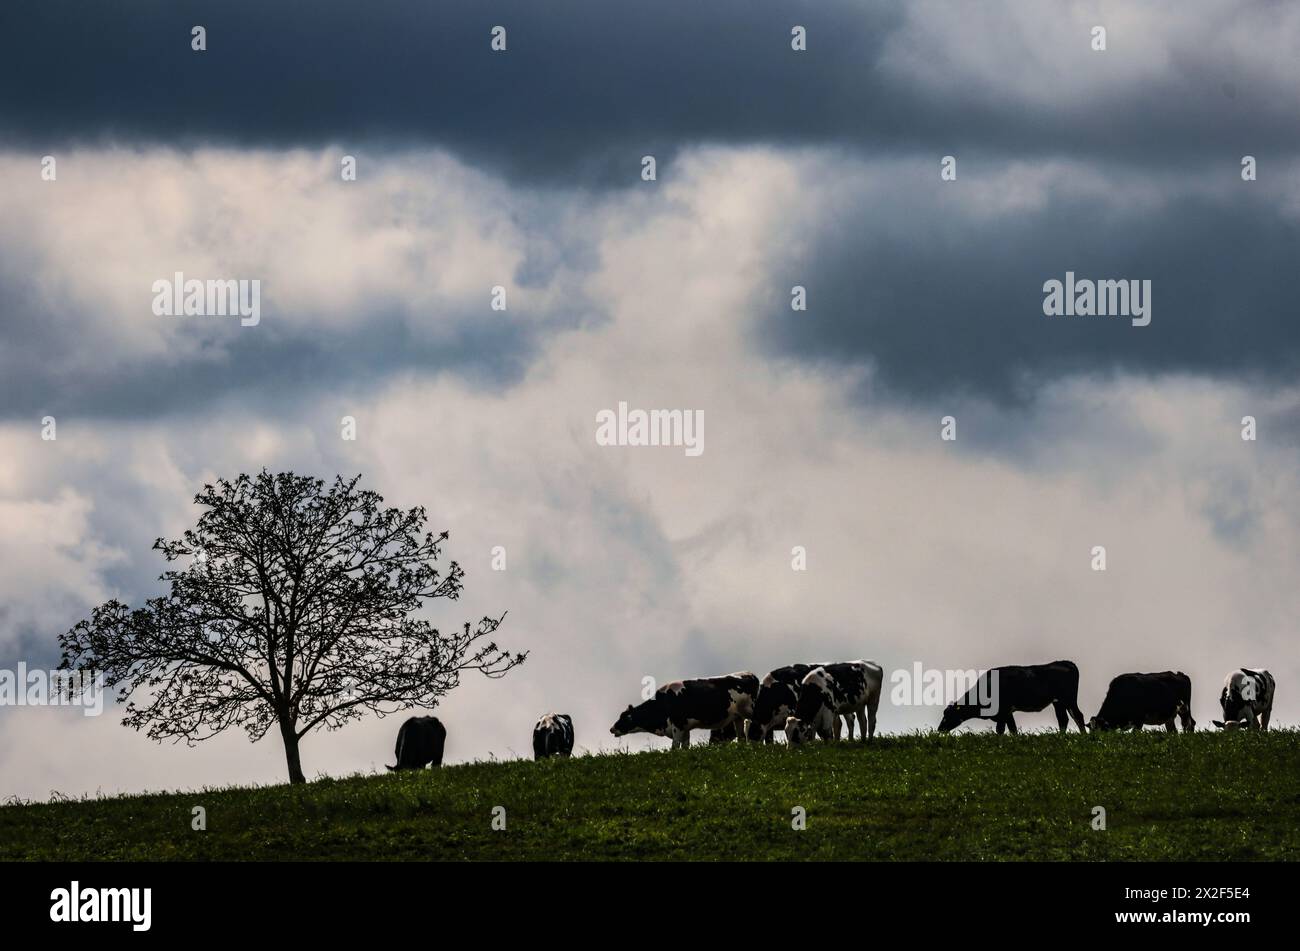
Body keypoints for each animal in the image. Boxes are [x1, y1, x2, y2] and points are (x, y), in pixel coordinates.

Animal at [611, 670, 759, 748]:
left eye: (624, 717)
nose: (611, 729)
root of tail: (748, 673)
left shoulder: (678, 725)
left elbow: (675, 747)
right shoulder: (685, 728)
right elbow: (685, 747)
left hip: (751, 711)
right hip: (737, 717)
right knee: (740, 734)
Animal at [935, 659, 1086, 737]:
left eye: (948, 715)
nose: (939, 729)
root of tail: (1065, 662)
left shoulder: (1003, 711)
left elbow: (1001, 730)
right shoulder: (1007, 713)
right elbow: (1013, 729)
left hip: (1068, 699)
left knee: (1078, 716)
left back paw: (1084, 736)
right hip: (1058, 702)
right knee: (1063, 719)